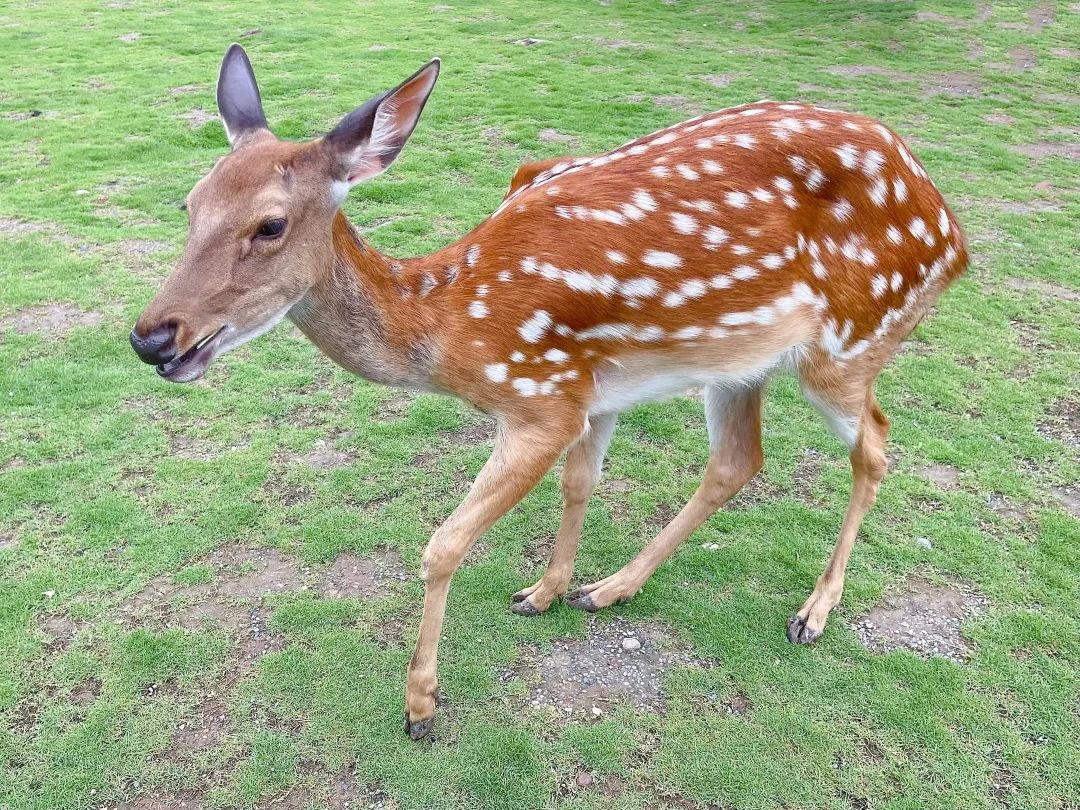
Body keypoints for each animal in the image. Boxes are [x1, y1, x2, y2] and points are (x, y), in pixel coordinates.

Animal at [128, 45, 972, 743]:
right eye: (189, 205)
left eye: (270, 225)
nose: (152, 339)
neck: (448, 326)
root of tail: (953, 233)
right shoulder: (590, 389)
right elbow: (580, 482)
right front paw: (546, 590)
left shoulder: (539, 397)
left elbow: (443, 545)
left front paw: (421, 705)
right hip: (740, 362)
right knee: (739, 460)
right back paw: (612, 588)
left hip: (852, 340)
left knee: (876, 443)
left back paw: (814, 612)